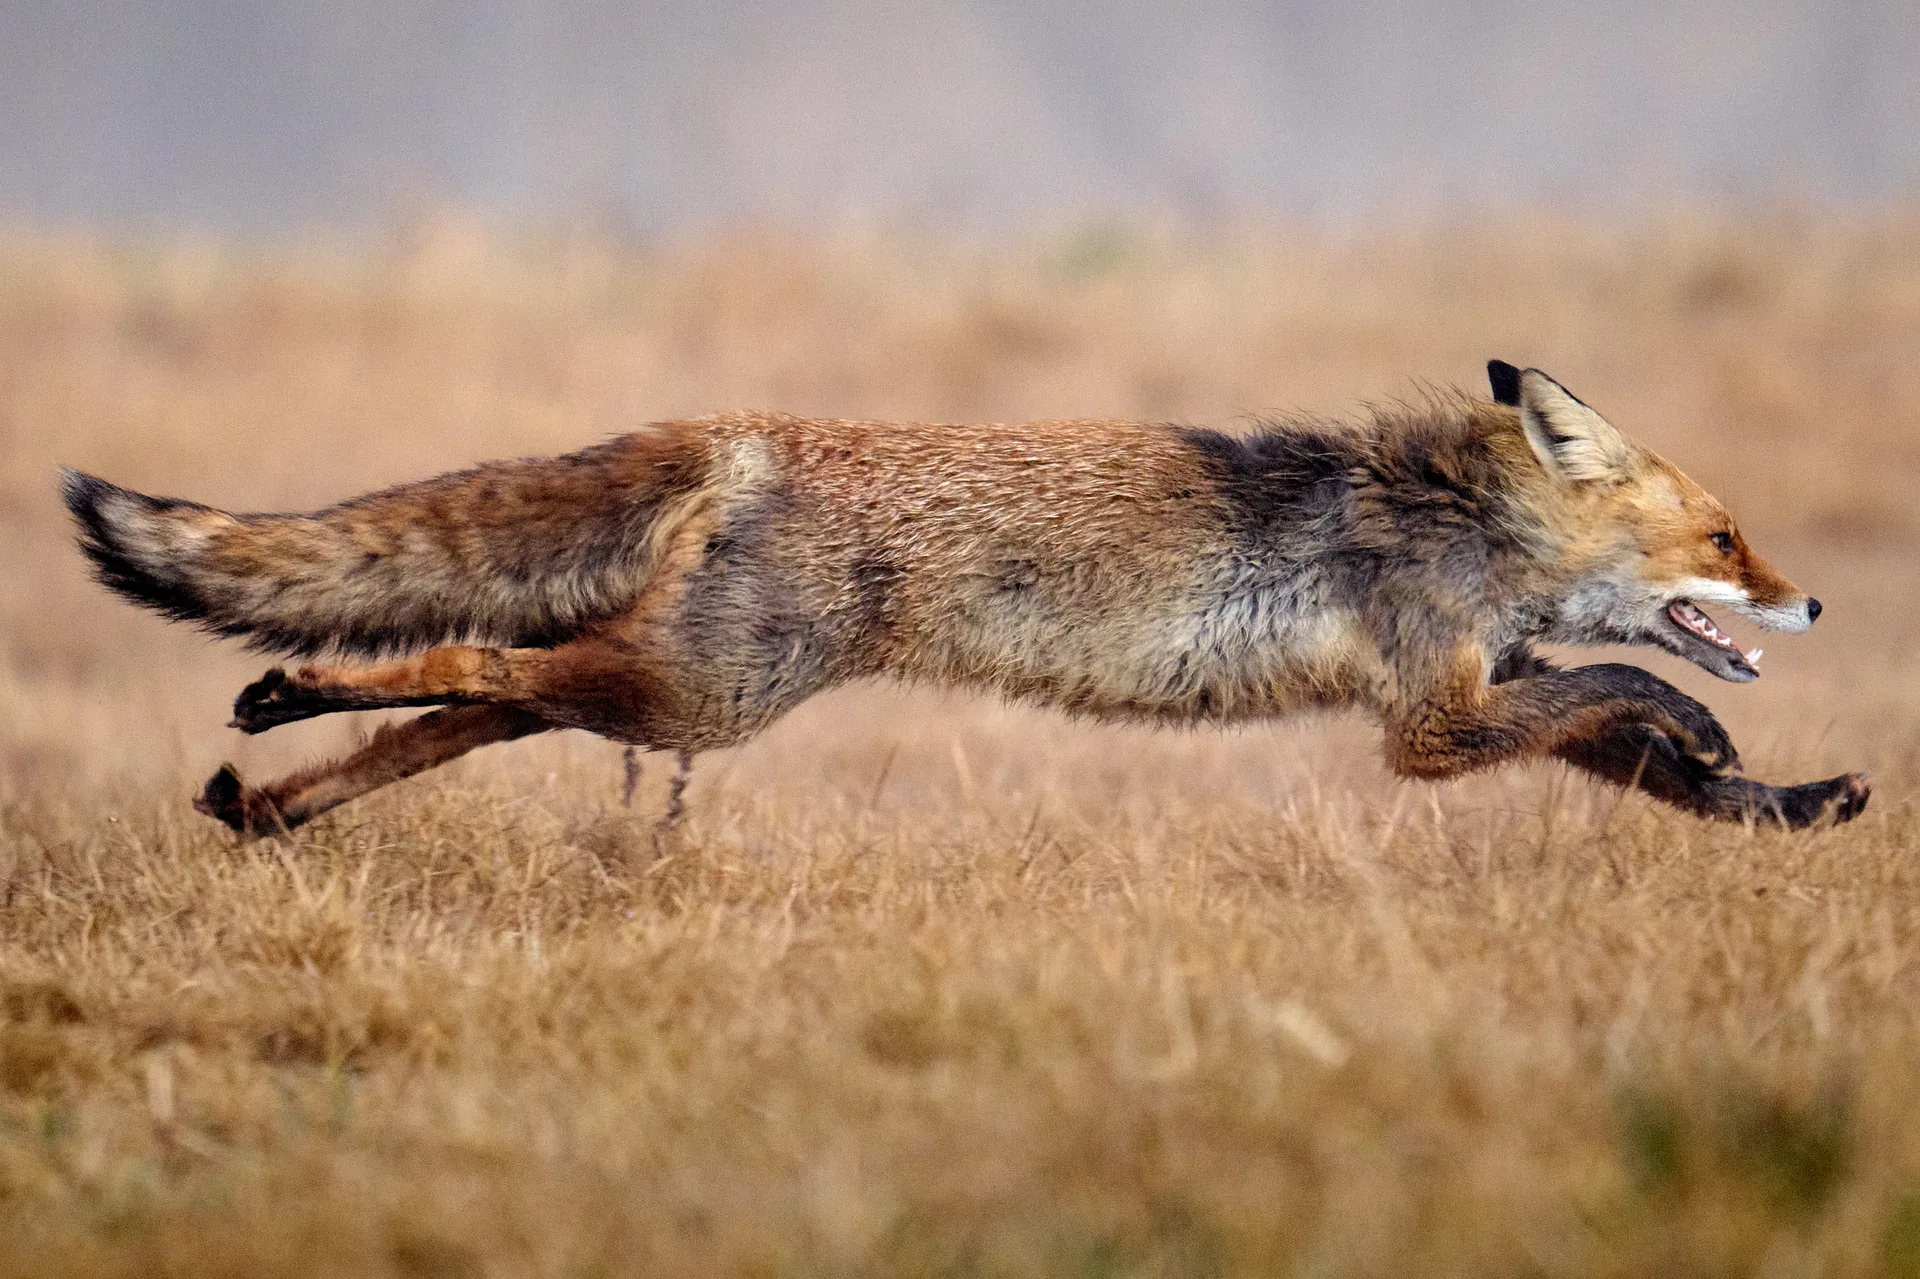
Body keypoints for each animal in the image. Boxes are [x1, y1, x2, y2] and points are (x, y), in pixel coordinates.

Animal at [61, 361, 1868, 837]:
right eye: (1729, 539)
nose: (1814, 608)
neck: (1464, 519)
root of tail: (756, 427)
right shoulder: (1427, 720)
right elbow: (1631, 693)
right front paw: (1723, 737)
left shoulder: (1470, 697)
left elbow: (1639, 746)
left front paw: (1789, 801)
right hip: (703, 690)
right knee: (470, 656)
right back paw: (281, 709)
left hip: (670, 683)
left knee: (476, 699)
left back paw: (264, 797)